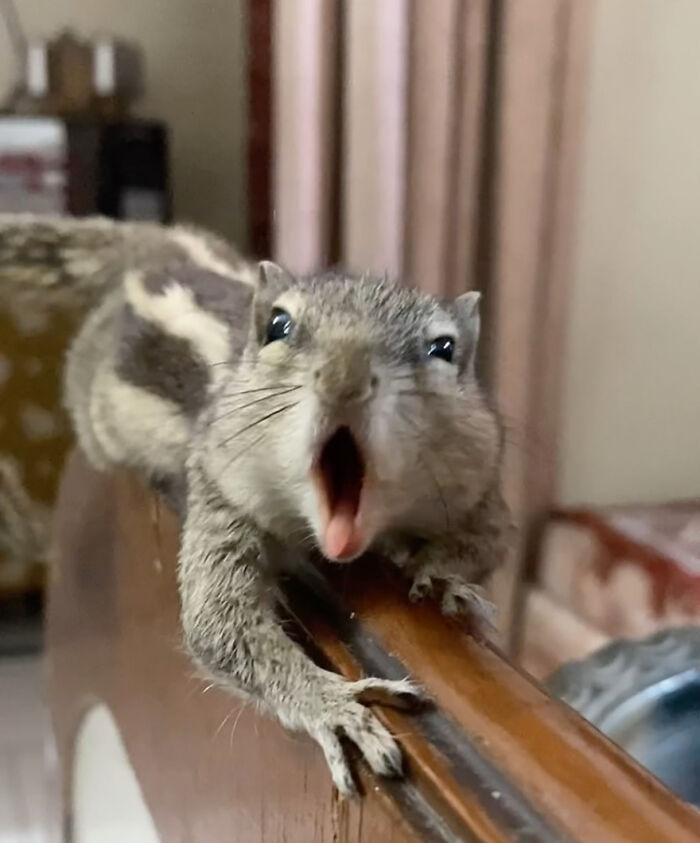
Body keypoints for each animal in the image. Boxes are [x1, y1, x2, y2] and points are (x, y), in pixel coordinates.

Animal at [0, 214, 508, 796]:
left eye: (443, 347)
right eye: (279, 326)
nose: (345, 377)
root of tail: (163, 246)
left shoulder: (479, 486)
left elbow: (488, 544)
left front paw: (442, 576)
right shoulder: (222, 497)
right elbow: (218, 624)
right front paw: (332, 705)